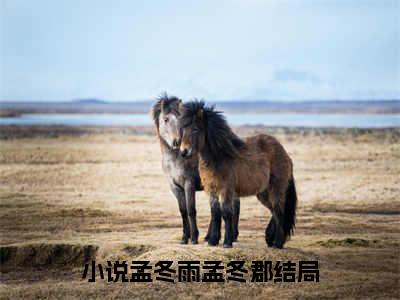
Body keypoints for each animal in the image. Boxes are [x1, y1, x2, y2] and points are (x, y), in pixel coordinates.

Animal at [152, 95, 241, 245]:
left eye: (180, 120)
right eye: (166, 119)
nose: (177, 142)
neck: (175, 159)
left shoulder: (189, 184)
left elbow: (191, 210)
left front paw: (194, 238)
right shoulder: (175, 187)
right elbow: (183, 211)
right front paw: (184, 238)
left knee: (234, 205)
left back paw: (231, 236)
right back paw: (211, 236)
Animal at [178, 101, 296, 248]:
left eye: (195, 129)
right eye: (183, 129)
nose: (183, 151)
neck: (219, 157)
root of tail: (285, 154)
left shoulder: (226, 190)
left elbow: (226, 213)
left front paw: (227, 242)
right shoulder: (212, 190)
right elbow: (215, 213)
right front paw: (213, 241)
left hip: (276, 189)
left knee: (279, 212)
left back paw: (277, 243)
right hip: (263, 193)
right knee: (274, 211)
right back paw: (270, 239)